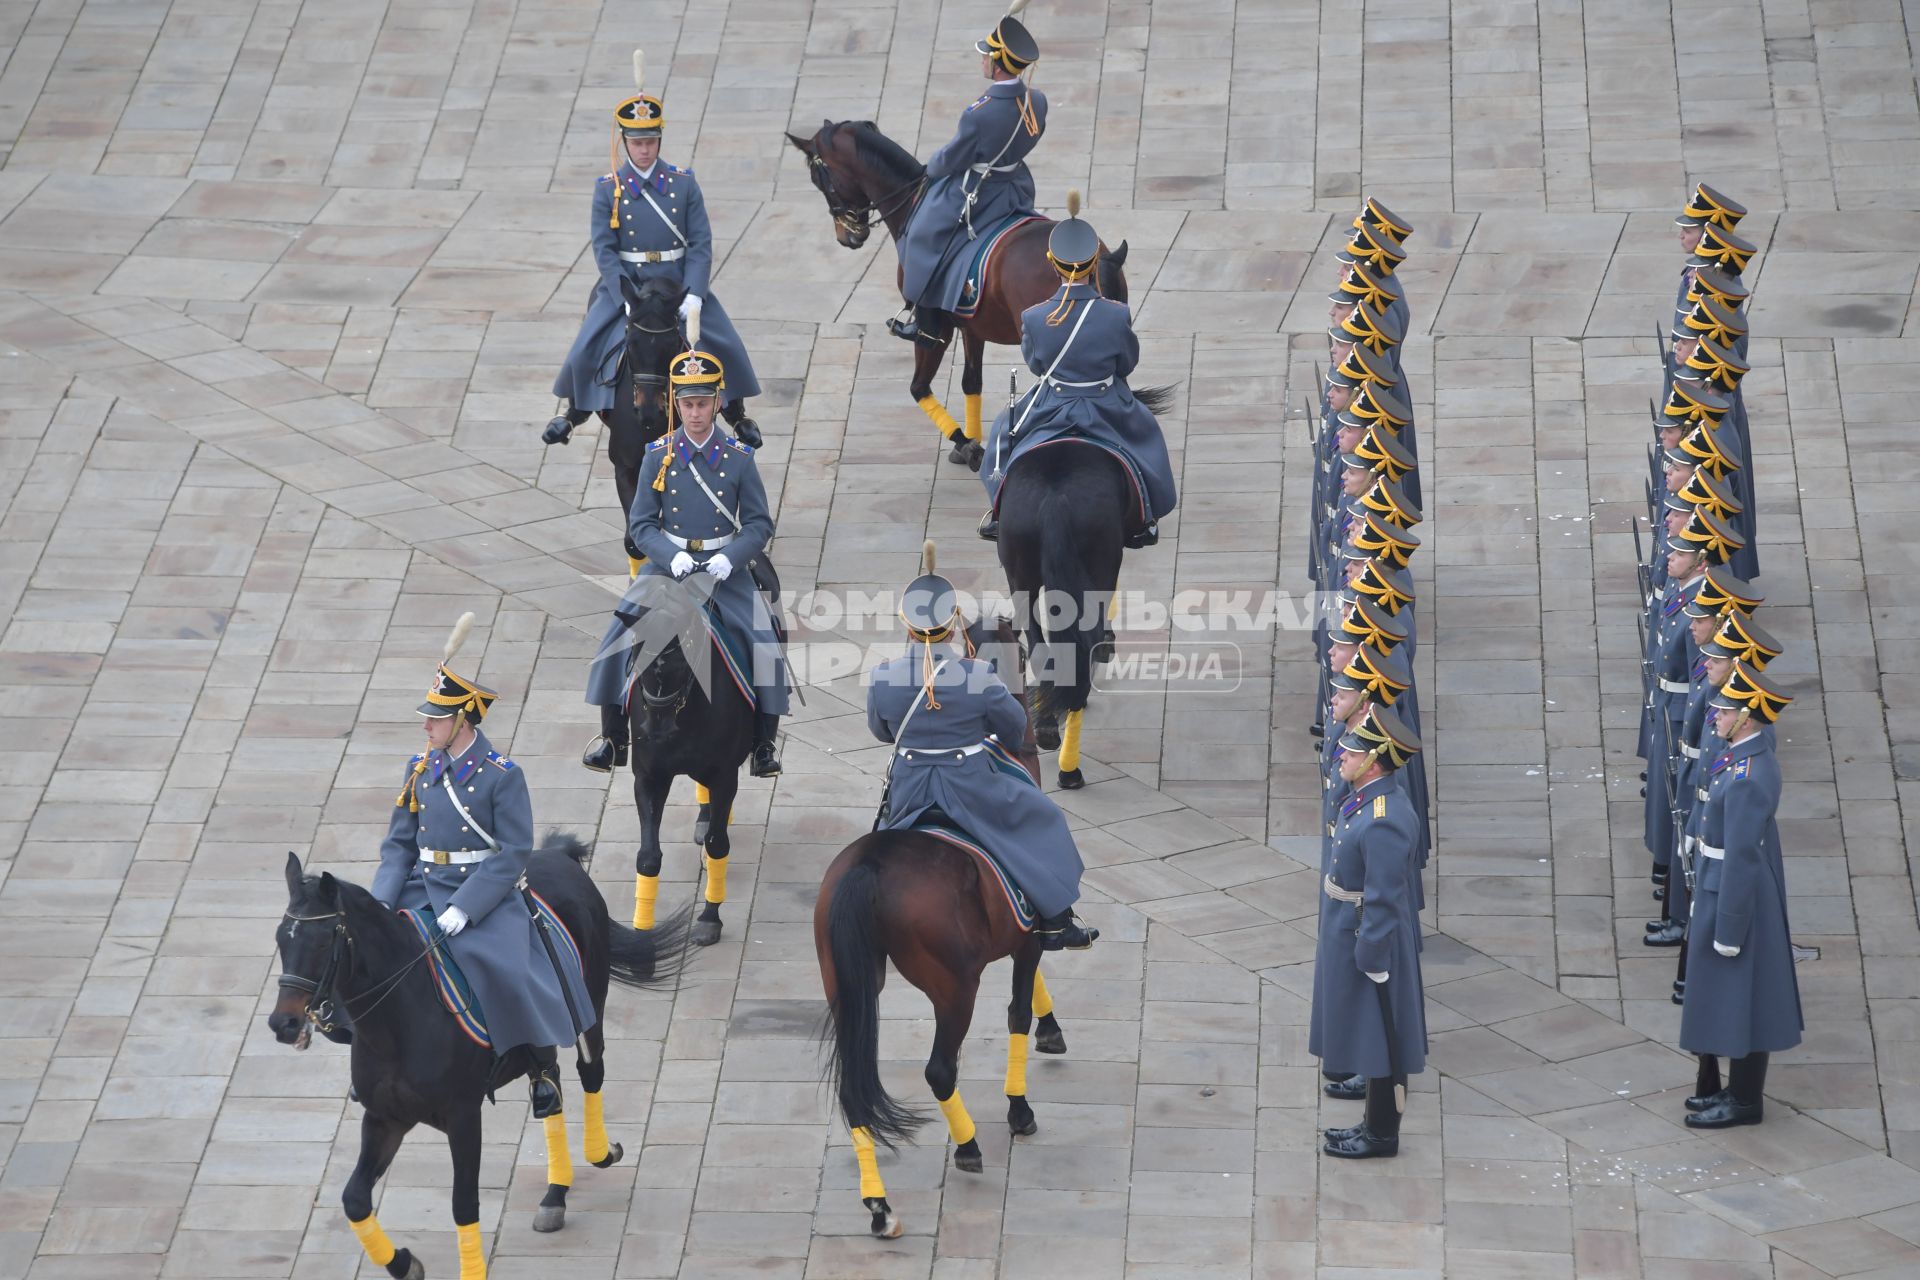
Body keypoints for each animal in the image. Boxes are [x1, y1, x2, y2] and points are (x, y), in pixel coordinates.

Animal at [268, 840, 691, 1280]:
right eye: (282, 939)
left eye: (322, 942)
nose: (284, 1023)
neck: (399, 1023)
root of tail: (557, 857)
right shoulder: (385, 1117)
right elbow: (354, 1200)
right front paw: (404, 1264)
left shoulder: (464, 1117)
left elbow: (463, 1204)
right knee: (550, 1079)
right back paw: (555, 1193)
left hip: (588, 1007)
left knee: (590, 1071)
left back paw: (599, 1153)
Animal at [625, 625, 752, 948]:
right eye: (636, 654)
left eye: (682, 662)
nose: (655, 731)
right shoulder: (648, 777)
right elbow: (648, 856)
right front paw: (642, 933)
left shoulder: (724, 777)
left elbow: (718, 845)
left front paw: (709, 918)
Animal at [787, 118, 1128, 470]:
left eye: (819, 180)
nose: (848, 237)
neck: (913, 203)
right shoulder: (971, 325)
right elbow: (971, 381)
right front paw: (972, 441)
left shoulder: (934, 326)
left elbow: (918, 387)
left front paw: (967, 445)